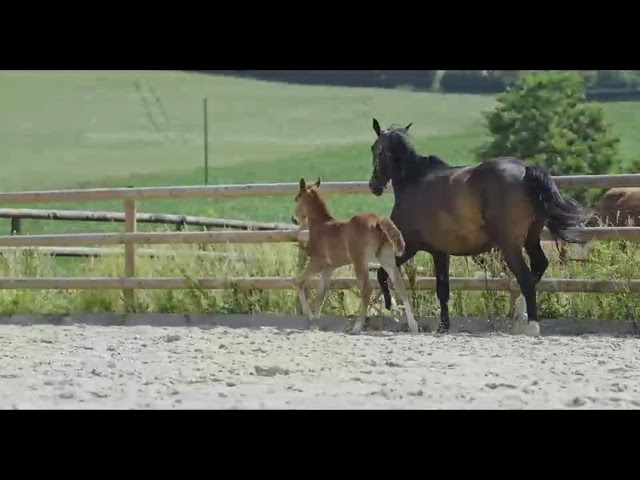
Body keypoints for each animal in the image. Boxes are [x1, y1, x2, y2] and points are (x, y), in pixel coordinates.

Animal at [292, 177, 419, 335]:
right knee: (399, 285)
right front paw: (315, 324)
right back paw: (413, 326)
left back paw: (357, 327)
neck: (321, 226)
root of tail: (378, 220)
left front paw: (309, 317)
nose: (293, 219)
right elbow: (320, 295)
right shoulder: (329, 267)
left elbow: (299, 282)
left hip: (359, 261)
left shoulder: (317, 262)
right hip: (386, 259)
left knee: (367, 288)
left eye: (297, 198)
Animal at [367, 119, 587, 337]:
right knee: (538, 266)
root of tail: (525, 171)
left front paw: (391, 306)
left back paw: (531, 325)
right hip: (531, 238)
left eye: (374, 148)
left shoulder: (409, 246)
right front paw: (443, 327)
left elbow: (382, 273)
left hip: (510, 246)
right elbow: (442, 289)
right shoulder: (440, 252)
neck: (414, 183)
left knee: (525, 277)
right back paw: (521, 316)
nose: (373, 185)